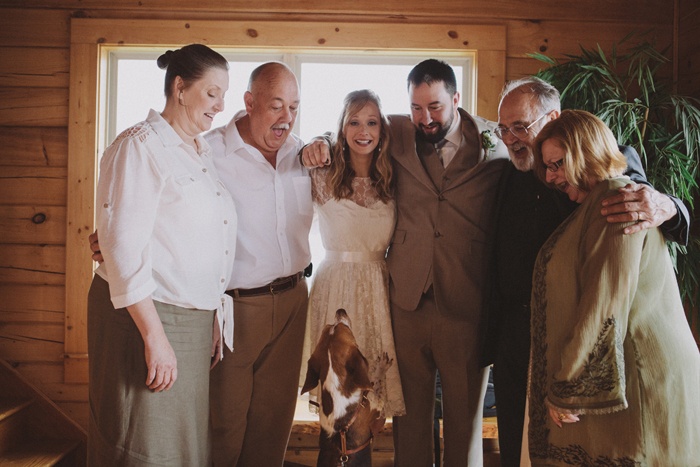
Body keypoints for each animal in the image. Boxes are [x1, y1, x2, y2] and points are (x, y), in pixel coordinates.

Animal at [300, 310, 388, 467]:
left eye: (329, 326)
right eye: (343, 327)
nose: (340, 310)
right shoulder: (377, 407)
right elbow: (378, 385)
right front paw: (383, 366)